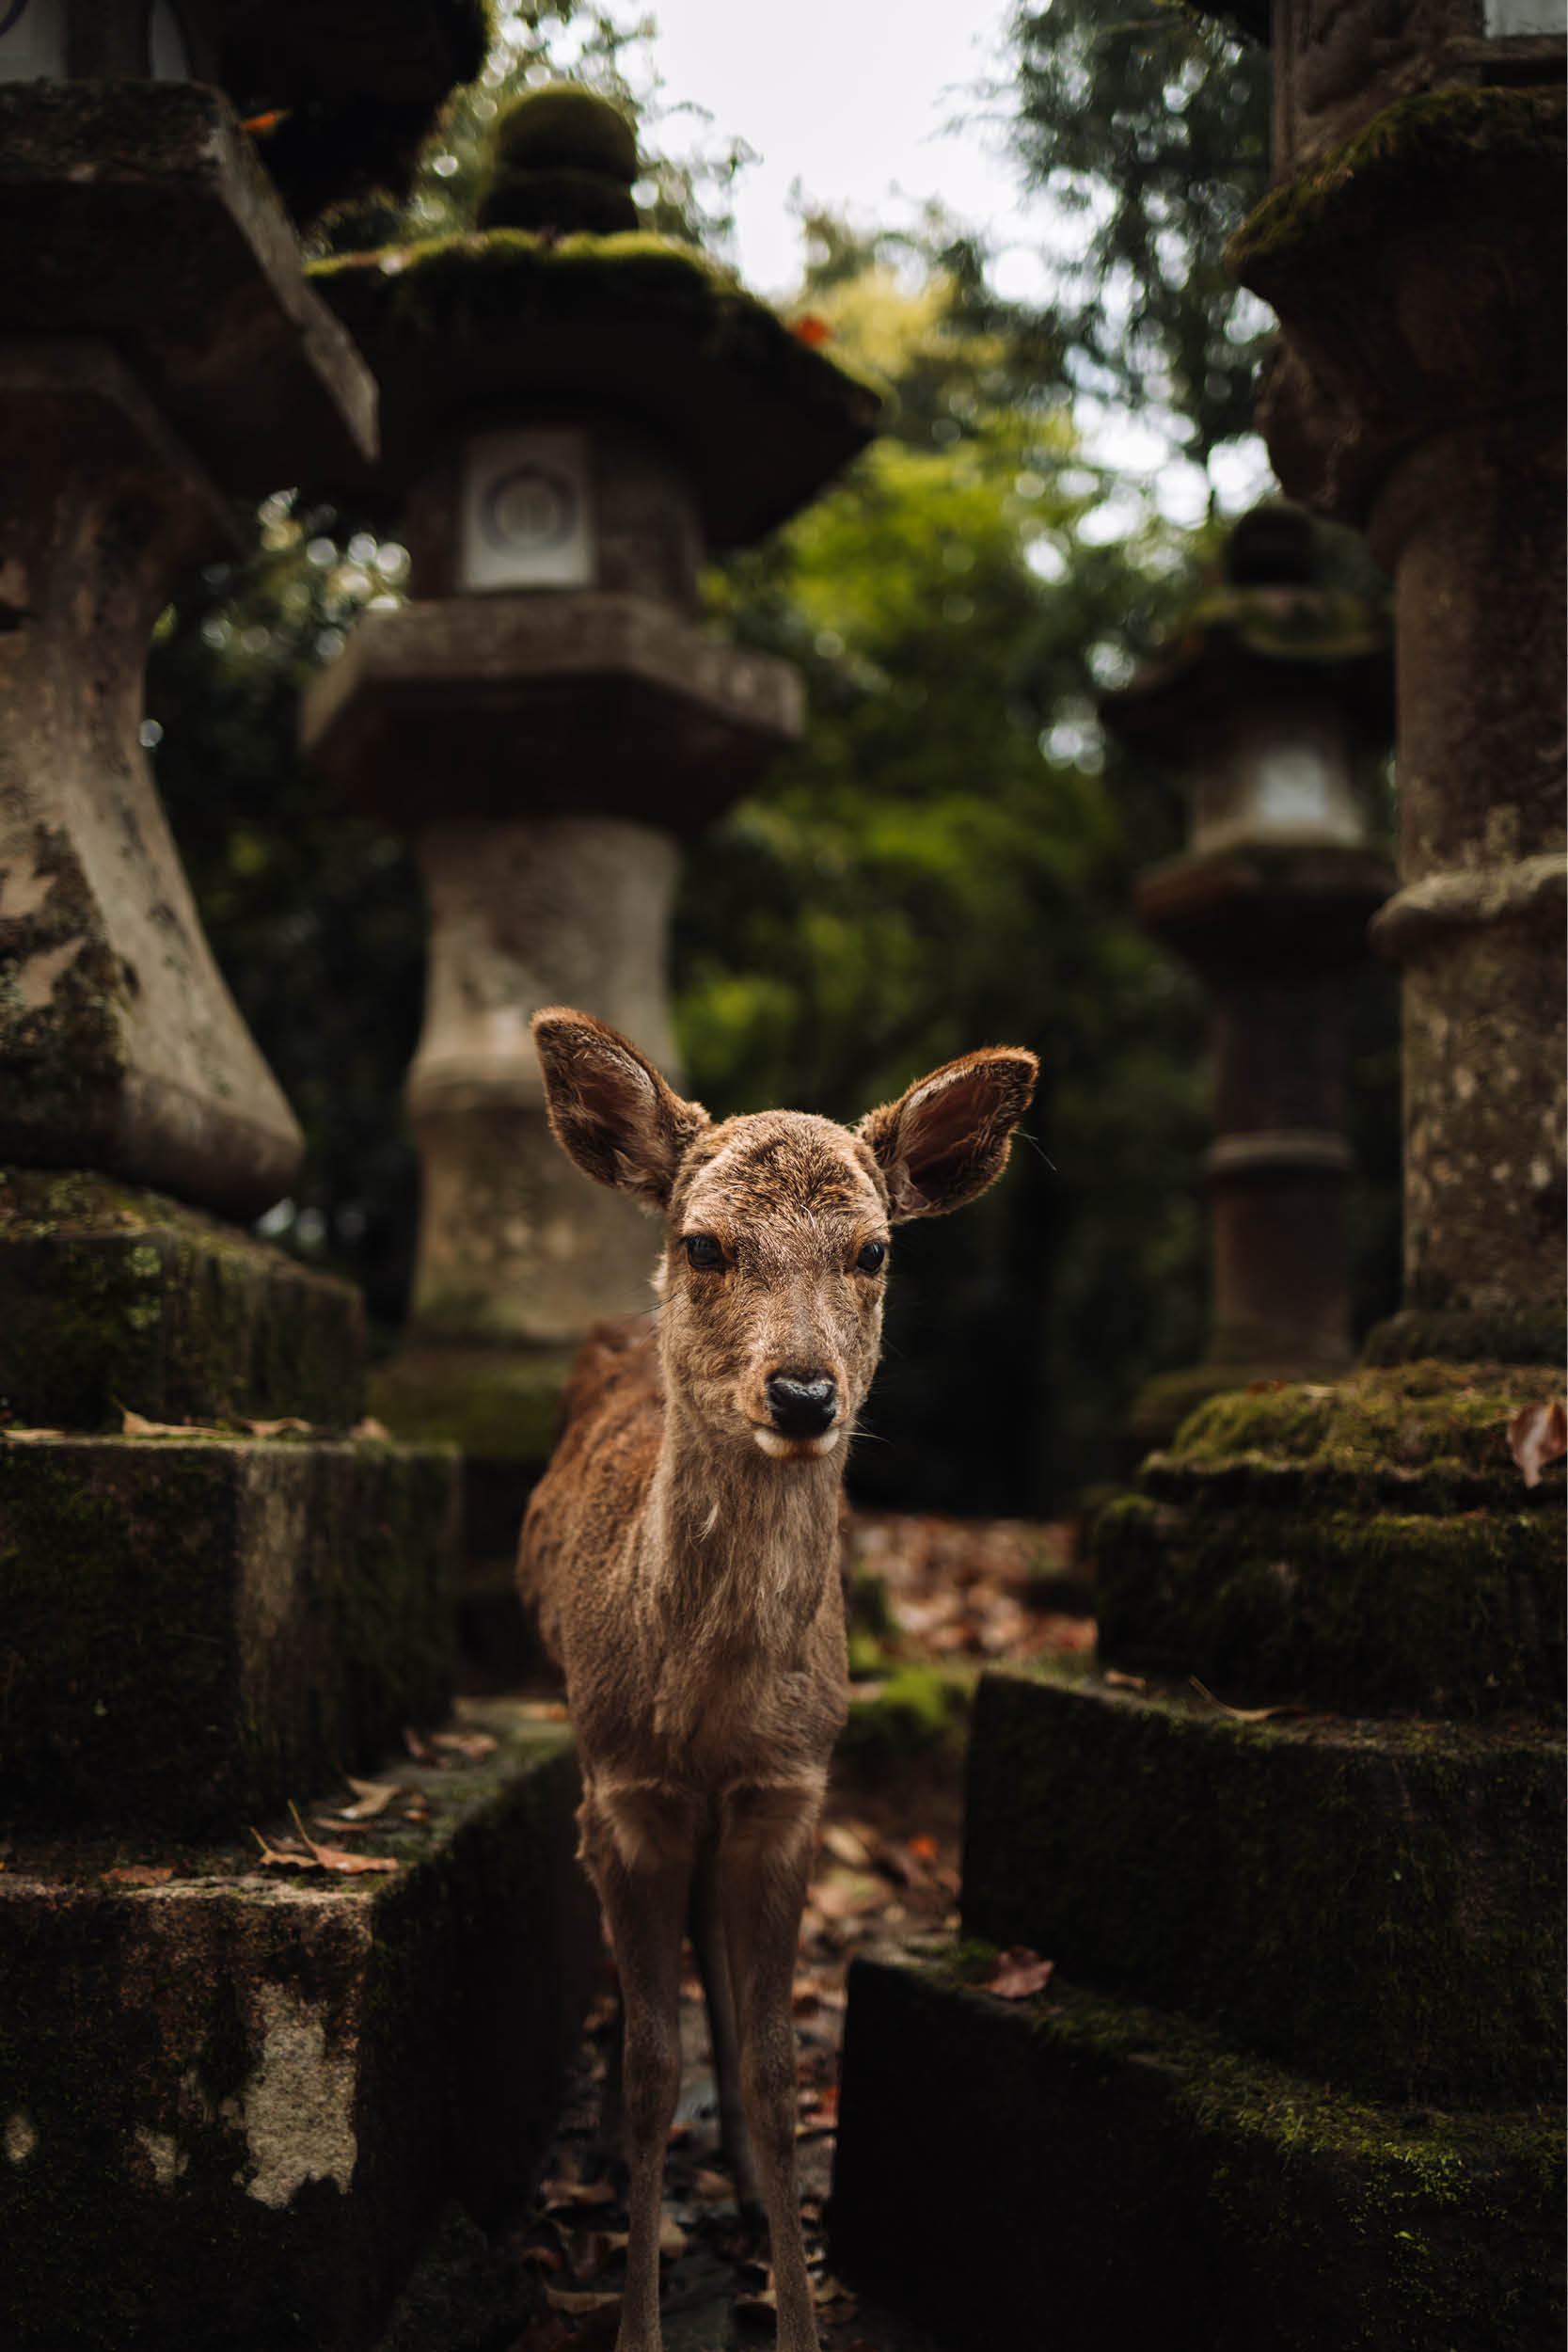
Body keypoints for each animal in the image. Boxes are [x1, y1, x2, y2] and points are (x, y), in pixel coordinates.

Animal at [516, 1007, 1043, 2352]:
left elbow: (767, 2059)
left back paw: (751, 2193)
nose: (803, 1392)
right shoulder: (623, 1784)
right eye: (703, 1242)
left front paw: (795, 2302)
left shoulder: (791, 1787)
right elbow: (652, 2060)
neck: (705, 1708)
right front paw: (638, 2319)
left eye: (871, 1249)